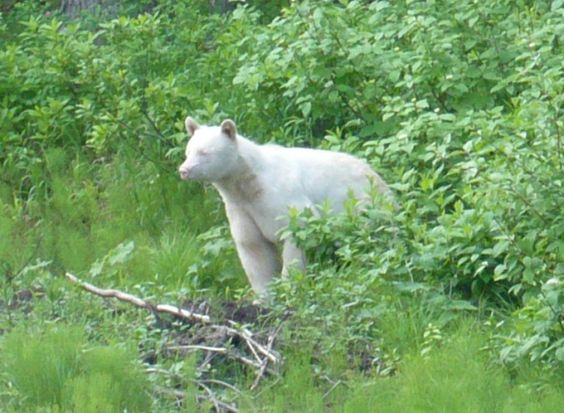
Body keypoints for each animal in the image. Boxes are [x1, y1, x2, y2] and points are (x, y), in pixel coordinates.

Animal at [180, 117, 392, 294]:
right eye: (188, 151)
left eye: (204, 152)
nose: (184, 170)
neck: (250, 184)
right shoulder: (241, 208)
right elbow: (254, 248)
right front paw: (264, 297)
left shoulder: (282, 197)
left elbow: (297, 232)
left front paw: (290, 287)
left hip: (364, 207)